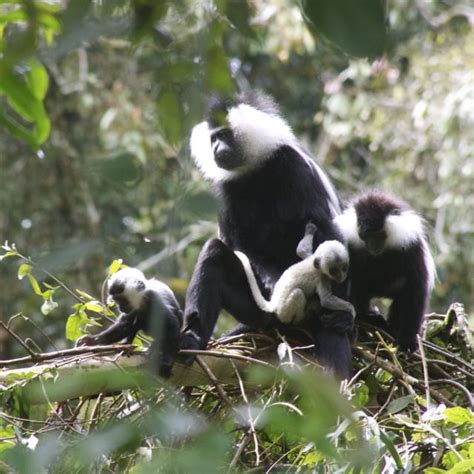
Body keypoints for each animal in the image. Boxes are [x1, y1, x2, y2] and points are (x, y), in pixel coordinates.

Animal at [336, 191, 436, 350]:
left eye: (378, 235)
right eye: (364, 236)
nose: (372, 245)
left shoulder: (412, 248)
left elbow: (415, 290)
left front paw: (408, 340)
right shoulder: (349, 245)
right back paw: (367, 317)